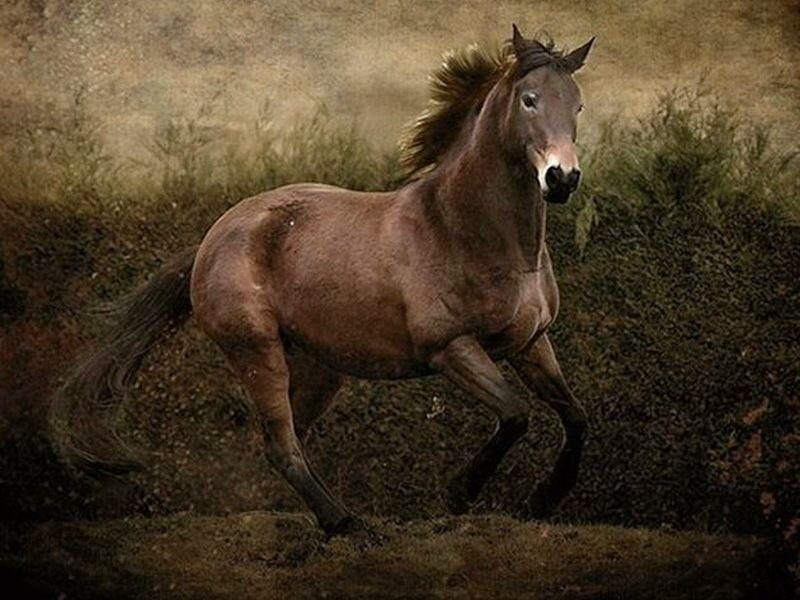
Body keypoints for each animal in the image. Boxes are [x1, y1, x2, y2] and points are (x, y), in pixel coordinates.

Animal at [49, 25, 595, 536]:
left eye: (578, 105)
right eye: (529, 99)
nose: (561, 179)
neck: (467, 231)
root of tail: (211, 239)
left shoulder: (530, 342)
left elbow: (575, 416)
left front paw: (543, 501)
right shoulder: (450, 347)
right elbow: (516, 413)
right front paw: (460, 493)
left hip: (318, 366)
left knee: (287, 437)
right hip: (256, 351)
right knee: (281, 443)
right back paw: (343, 521)